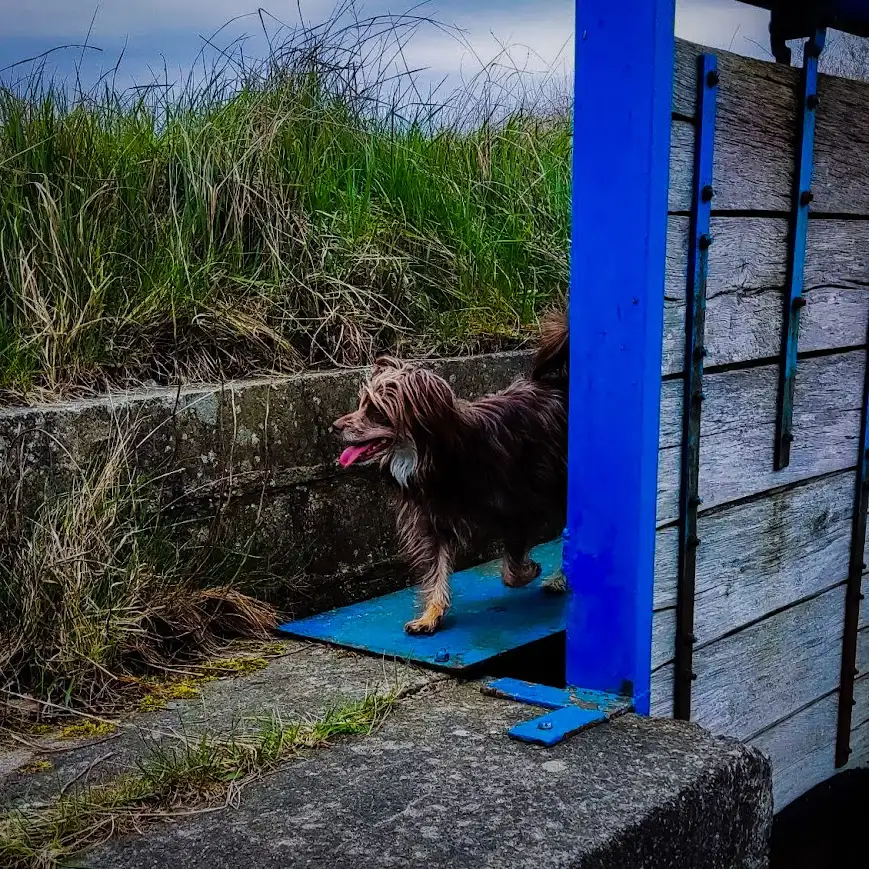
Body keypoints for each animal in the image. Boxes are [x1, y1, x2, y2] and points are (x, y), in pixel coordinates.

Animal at [328, 308, 568, 636]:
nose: (335, 426)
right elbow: (436, 567)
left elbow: (512, 568)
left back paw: (561, 577)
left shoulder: (519, 505)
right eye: (361, 404)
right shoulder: (430, 519)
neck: (437, 456)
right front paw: (431, 613)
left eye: (376, 411)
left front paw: (529, 571)